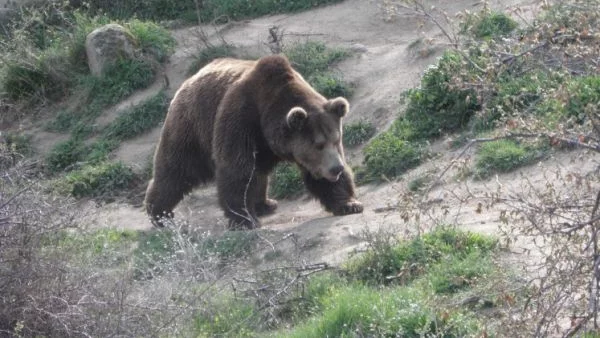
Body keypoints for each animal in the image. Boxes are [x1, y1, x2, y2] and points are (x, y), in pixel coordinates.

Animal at [145, 54, 360, 230]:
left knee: (259, 172)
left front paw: (349, 204)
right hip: (192, 126)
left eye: (336, 139)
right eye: (318, 145)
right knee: (177, 169)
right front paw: (244, 219)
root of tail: (189, 80)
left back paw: (265, 204)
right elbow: (236, 169)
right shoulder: (241, 120)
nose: (336, 168)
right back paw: (160, 214)